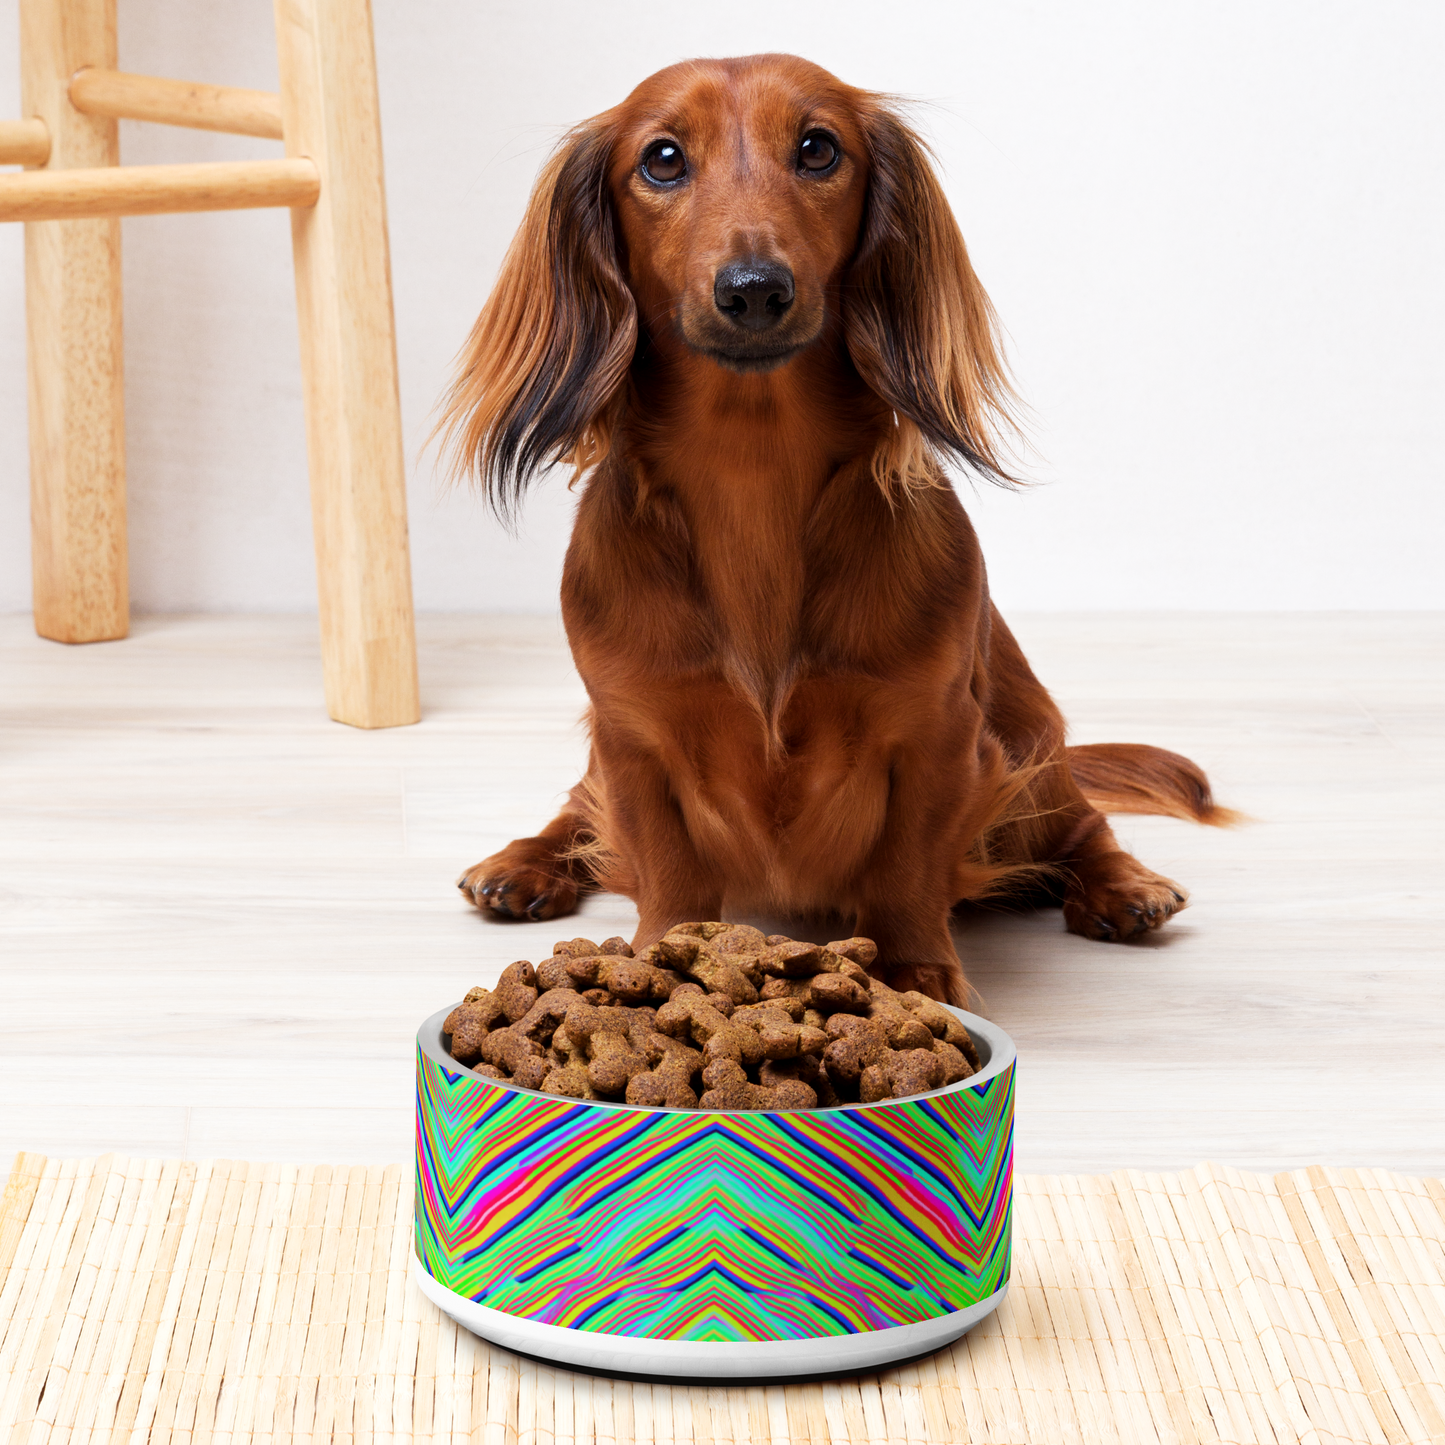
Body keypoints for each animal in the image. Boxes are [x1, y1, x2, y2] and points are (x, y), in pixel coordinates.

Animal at [436, 56, 1231, 1005]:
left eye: (818, 148)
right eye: (661, 159)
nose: (753, 290)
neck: (752, 473)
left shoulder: (937, 733)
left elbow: (906, 866)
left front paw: (916, 971)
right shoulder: (632, 735)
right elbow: (664, 865)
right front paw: (660, 958)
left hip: (1028, 744)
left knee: (1081, 823)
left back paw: (1123, 885)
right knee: (576, 810)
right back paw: (523, 863)